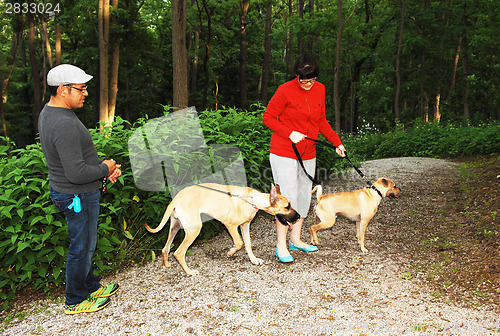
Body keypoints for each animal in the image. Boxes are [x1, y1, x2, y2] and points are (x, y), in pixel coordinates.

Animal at [146, 184, 300, 276]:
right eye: (287, 206)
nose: (299, 216)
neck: (252, 200)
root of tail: (176, 199)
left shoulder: (245, 225)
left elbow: (248, 244)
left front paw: (254, 260)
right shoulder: (230, 225)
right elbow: (239, 243)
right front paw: (231, 252)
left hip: (175, 227)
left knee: (165, 248)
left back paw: (166, 265)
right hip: (194, 229)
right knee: (178, 252)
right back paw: (189, 272)